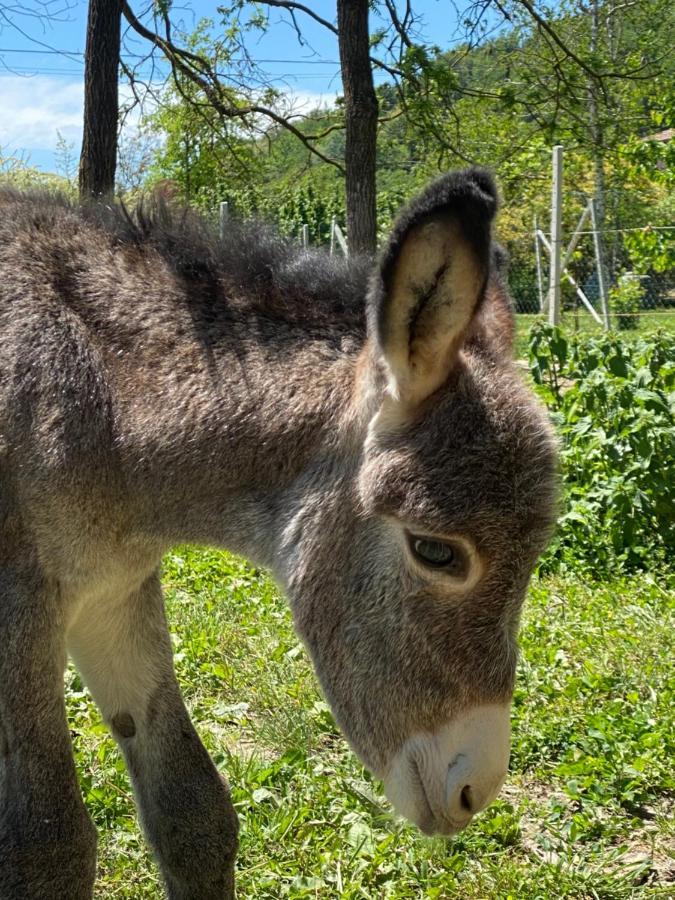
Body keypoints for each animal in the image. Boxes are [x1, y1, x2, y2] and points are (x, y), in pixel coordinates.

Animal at [0, 171, 556, 900]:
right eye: (435, 551)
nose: (475, 791)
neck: (102, 400)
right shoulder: (21, 607)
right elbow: (48, 845)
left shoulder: (112, 588)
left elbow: (193, 812)